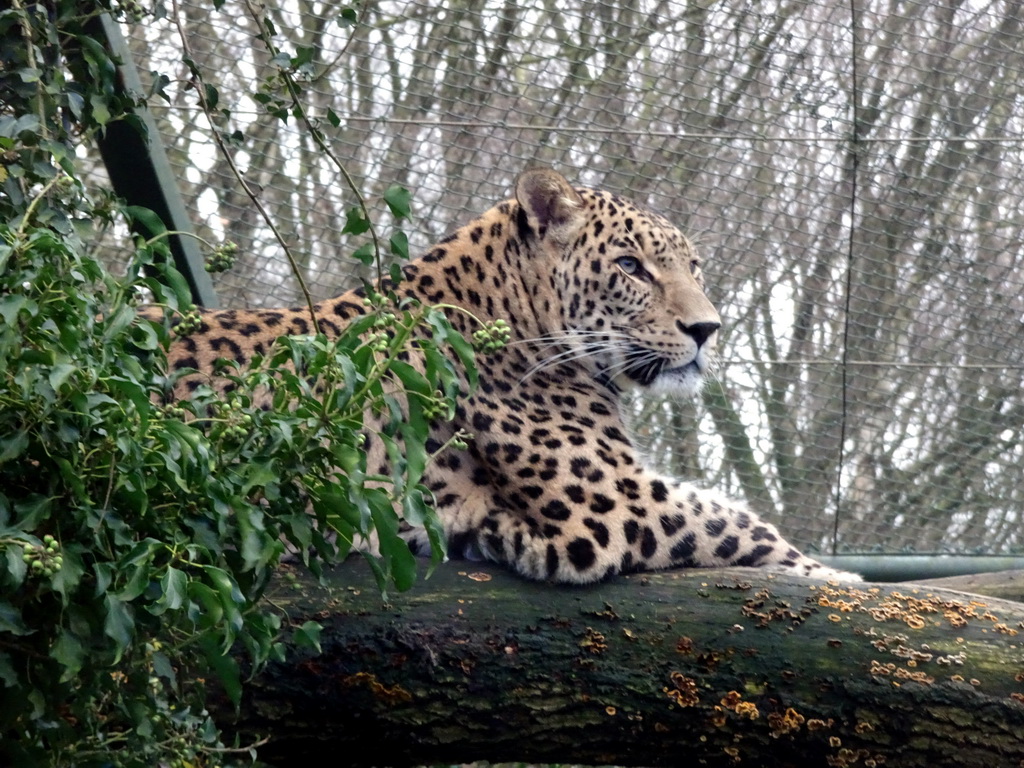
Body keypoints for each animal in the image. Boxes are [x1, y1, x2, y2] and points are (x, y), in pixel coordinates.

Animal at [148, 166, 860, 581]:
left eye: (695, 266)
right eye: (631, 266)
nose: (707, 329)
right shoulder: (614, 506)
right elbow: (741, 527)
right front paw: (836, 578)